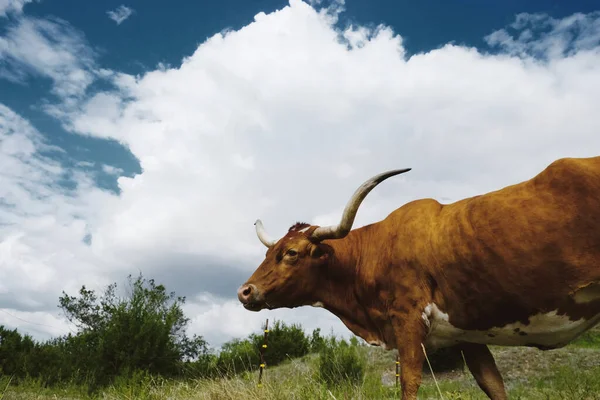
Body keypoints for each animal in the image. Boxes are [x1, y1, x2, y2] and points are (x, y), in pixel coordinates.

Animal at [236, 156, 600, 400]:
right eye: (270, 252)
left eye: (291, 253)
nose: (245, 291)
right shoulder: (467, 336)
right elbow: (493, 384)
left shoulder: (408, 321)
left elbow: (409, 383)